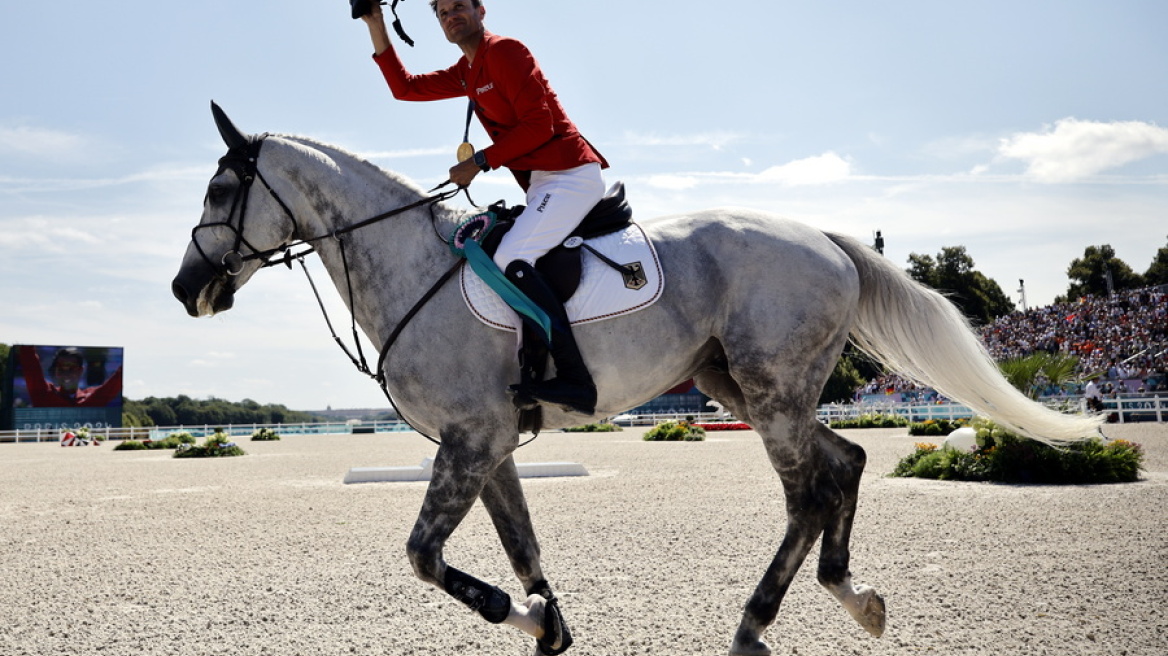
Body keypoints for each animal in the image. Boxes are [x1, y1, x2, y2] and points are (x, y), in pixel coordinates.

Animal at [172, 104, 1102, 648]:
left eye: (221, 189)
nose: (187, 290)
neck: (408, 263)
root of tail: (824, 238)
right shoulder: (490, 446)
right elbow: (521, 548)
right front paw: (547, 622)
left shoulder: (470, 440)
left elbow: (426, 557)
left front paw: (524, 616)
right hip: (742, 386)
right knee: (845, 465)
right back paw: (852, 595)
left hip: (770, 391)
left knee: (809, 492)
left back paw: (756, 625)